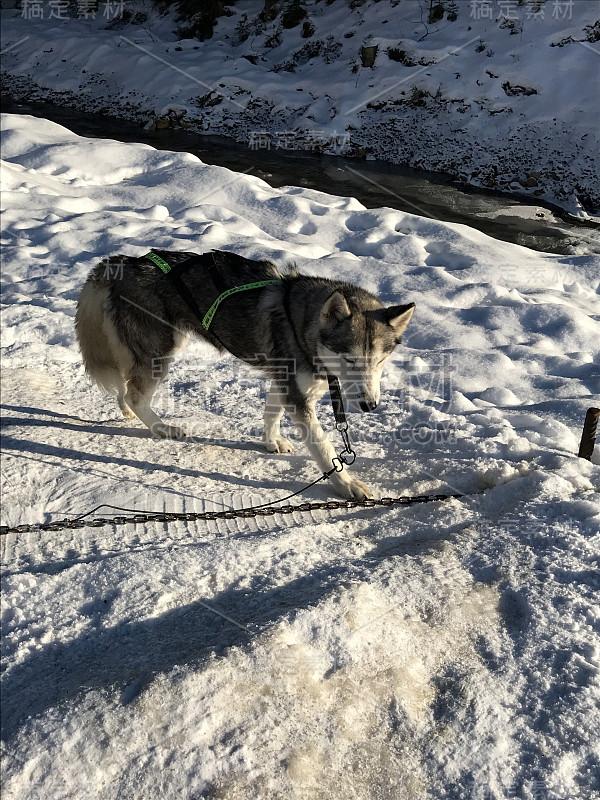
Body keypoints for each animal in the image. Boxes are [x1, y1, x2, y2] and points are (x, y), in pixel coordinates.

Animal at [74, 250, 412, 500]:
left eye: (380, 361)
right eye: (349, 358)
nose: (370, 405)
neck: (301, 321)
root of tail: (121, 262)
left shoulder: (287, 382)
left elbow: (272, 413)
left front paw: (271, 441)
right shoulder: (298, 394)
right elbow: (323, 446)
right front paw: (346, 484)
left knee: (126, 385)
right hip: (161, 349)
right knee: (135, 393)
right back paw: (162, 427)